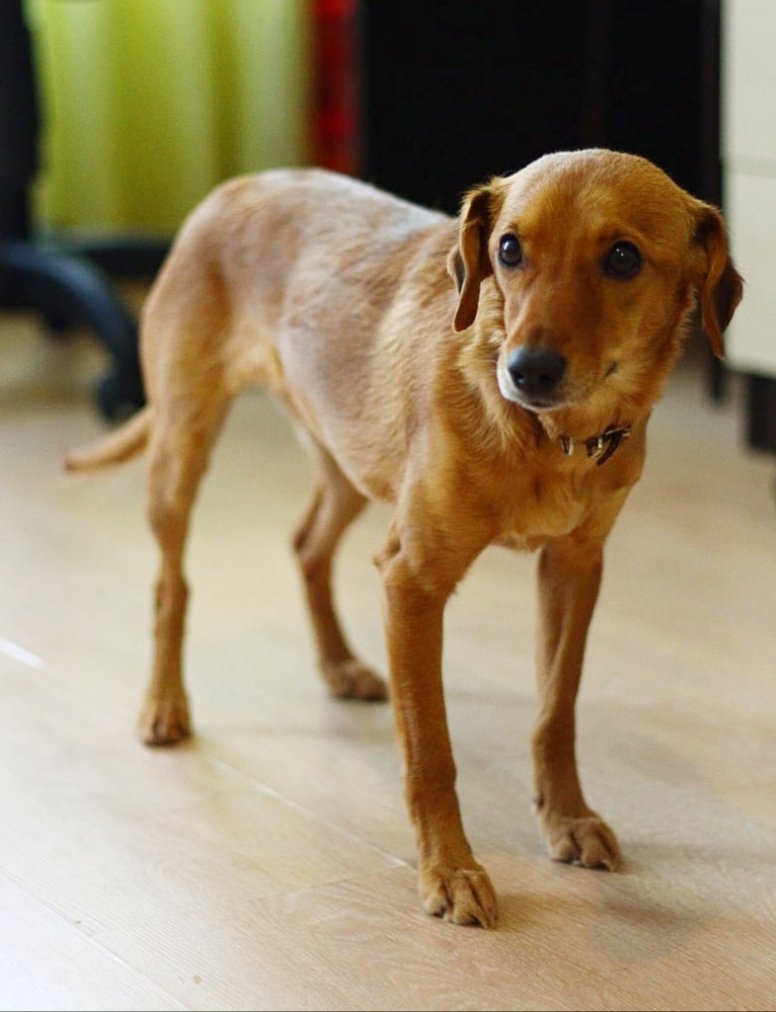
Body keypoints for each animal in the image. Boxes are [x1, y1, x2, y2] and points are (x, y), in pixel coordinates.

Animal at [65, 149, 743, 927]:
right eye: (509, 249)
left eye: (623, 258)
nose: (525, 371)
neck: (549, 439)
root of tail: (241, 183)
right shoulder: (413, 580)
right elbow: (430, 752)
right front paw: (450, 870)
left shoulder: (575, 567)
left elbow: (555, 712)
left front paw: (566, 818)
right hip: (184, 445)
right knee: (171, 584)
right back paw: (164, 705)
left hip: (348, 461)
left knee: (306, 543)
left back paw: (338, 665)